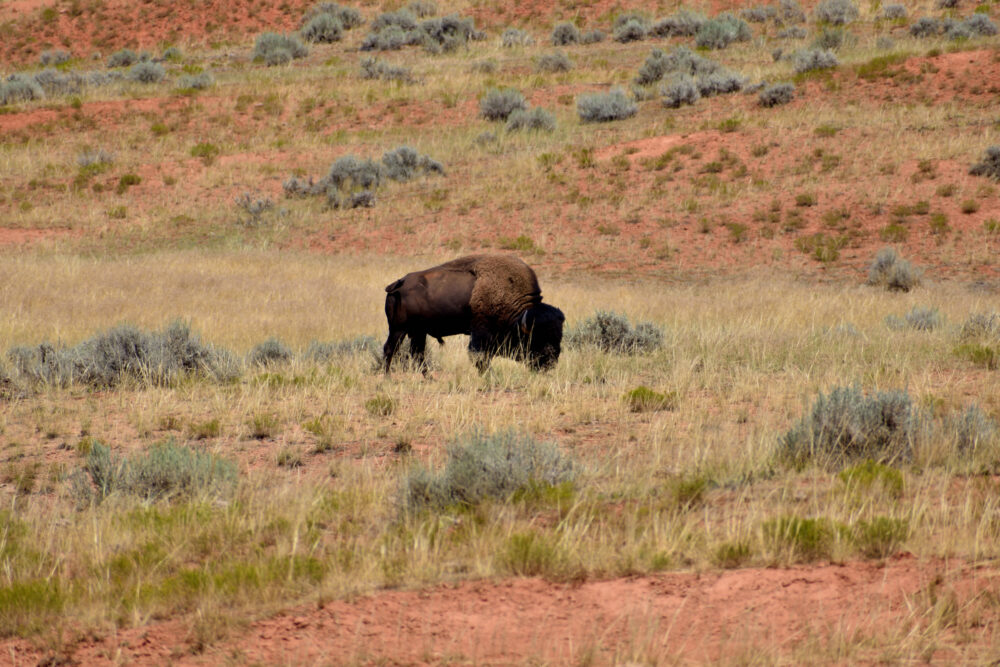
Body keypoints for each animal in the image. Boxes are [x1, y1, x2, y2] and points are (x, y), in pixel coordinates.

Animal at [383, 254, 564, 373]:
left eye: (559, 336)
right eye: (537, 337)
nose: (551, 363)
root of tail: (399, 284)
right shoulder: (481, 333)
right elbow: (480, 357)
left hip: (418, 332)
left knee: (417, 354)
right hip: (398, 330)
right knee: (390, 349)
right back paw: (387, 377)